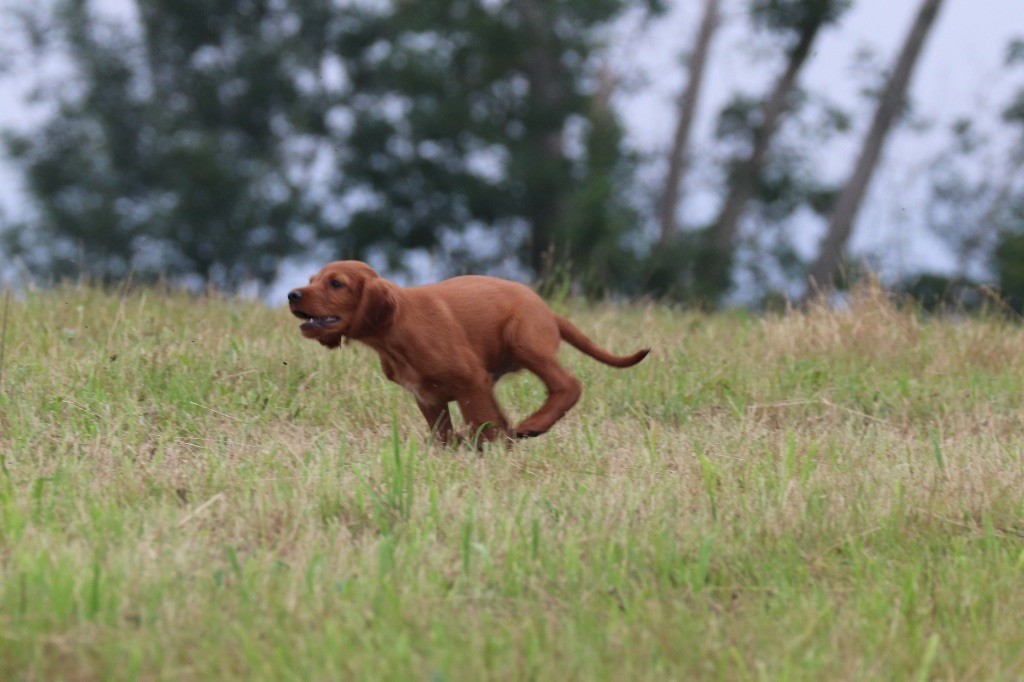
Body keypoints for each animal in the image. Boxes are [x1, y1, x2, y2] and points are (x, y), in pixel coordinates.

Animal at [288, 259, 647, 440]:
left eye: (336, 283)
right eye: (312, 279)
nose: (292, 294)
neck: (394, 332)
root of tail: (547, 309)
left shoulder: (472, 382)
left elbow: (484, 423)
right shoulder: (428, 397)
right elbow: (448, 432)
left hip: (523, 339)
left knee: (569, 386)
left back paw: (533, 425)